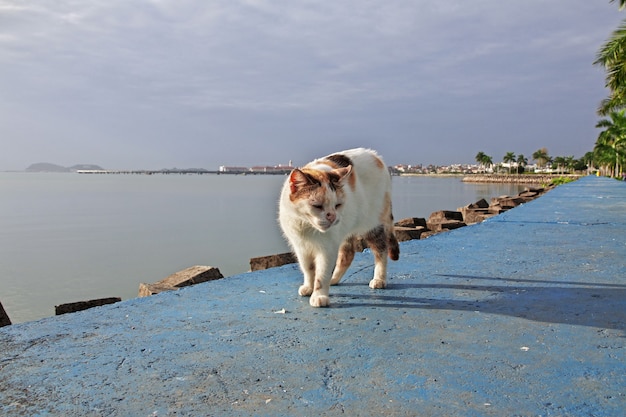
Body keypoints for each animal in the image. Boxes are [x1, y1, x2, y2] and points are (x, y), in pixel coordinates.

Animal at [280, 146, 400, 306]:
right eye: (317, 206)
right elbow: (308, 269)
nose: (332, 216)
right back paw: (334, 279)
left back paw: (379, 279)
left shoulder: (327, 249)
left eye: (337, 205)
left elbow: (321, 274)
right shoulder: (301, 247)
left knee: (381, 250)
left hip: (371, 225)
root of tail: (376, 156)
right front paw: (309, 287)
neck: (306, 227)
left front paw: (319, 296)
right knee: (348, 254)